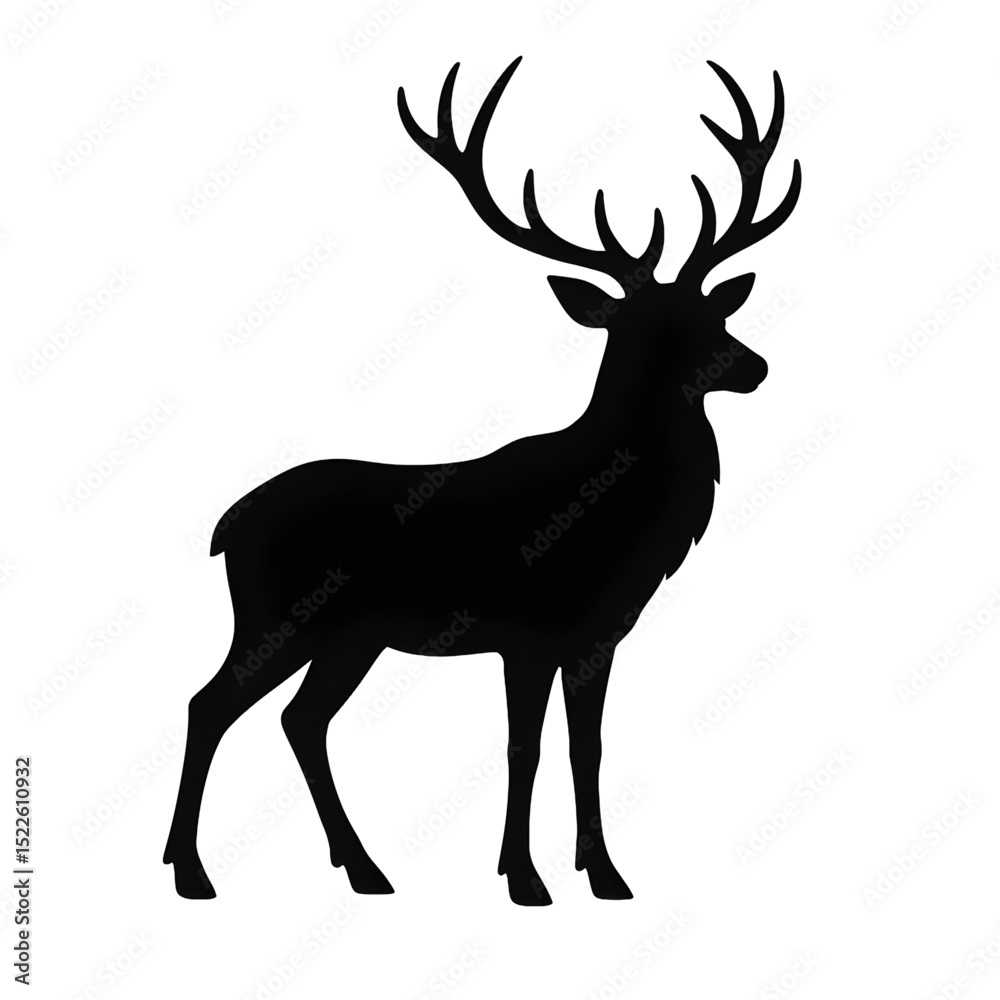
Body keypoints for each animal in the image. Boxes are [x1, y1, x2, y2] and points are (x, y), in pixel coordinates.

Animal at [163, 56, 800, 906]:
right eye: (651, 329)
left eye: (711, 312)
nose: (755, 367)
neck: (615, 522)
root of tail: (226, 526)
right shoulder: (526, 633)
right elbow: (522, 746)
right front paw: (524, 878)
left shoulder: (597, 635)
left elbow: (588, 746)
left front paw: (604, 874)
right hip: (279, 614)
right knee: (210, 704)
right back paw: (191, 871)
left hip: (351, 636)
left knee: (300, 720)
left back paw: (364, 869)